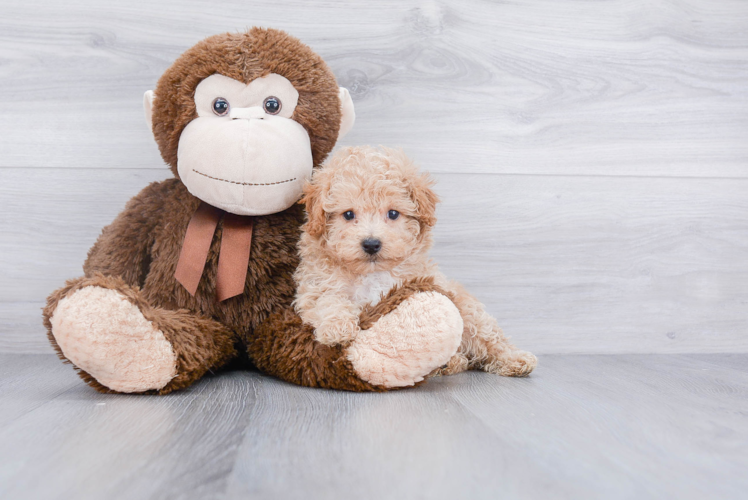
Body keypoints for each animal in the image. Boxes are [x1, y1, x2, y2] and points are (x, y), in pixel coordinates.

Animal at [294, 146, 536, 376]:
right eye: (348, 214)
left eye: (393, 214)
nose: (371, 244)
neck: (372, 274)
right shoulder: (314, 289)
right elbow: (329, 300)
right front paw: (337, 328)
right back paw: (450, 363)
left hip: (469, 311)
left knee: (489, 339)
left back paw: (514, 359)